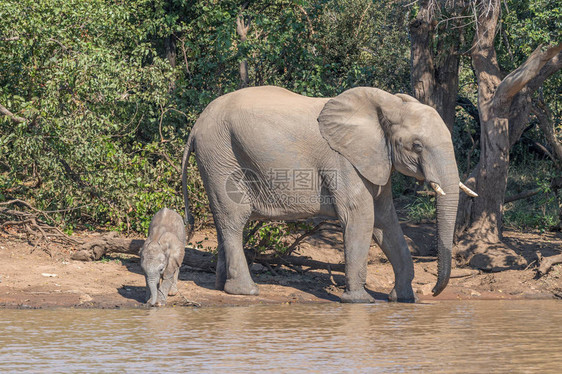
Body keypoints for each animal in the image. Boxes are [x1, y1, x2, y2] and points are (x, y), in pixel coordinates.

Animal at [182, 86, 474, 302]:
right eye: (417, 145)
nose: (434, 291)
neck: (387, 104)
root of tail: (195, 126)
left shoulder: (375, 160)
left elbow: (385, 220)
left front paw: (402, 300)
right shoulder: (342, 161)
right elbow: (361, 217)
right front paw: (360, 302)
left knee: (223, 221)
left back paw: (221, 287)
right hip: (220, 156)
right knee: (234, 219)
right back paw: (246, 291)